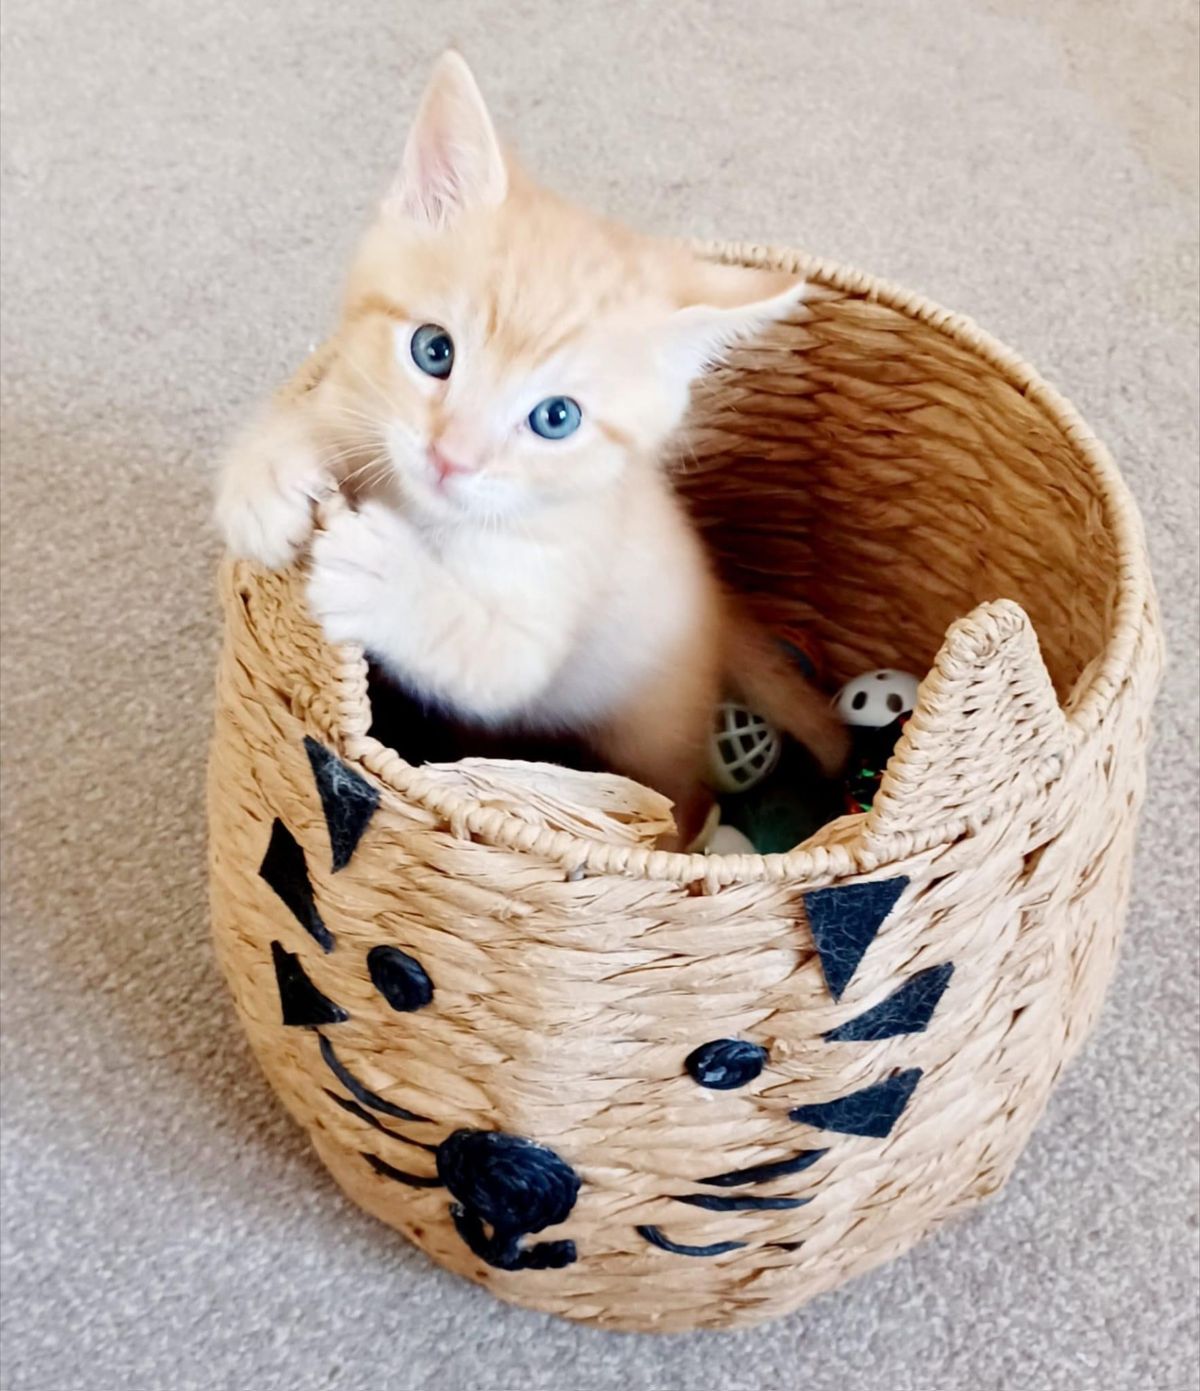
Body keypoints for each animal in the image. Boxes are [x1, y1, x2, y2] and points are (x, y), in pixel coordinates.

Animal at [214, 51, 845, 845]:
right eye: (434, 350)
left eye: (555, 418)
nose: (452, 457)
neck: (430, 514)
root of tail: (722, 604)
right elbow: (320, 415)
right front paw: (266, 478)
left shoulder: (547, 603)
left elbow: (488, 655)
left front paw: (388, 577)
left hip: (655, 726)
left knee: (679, 793)